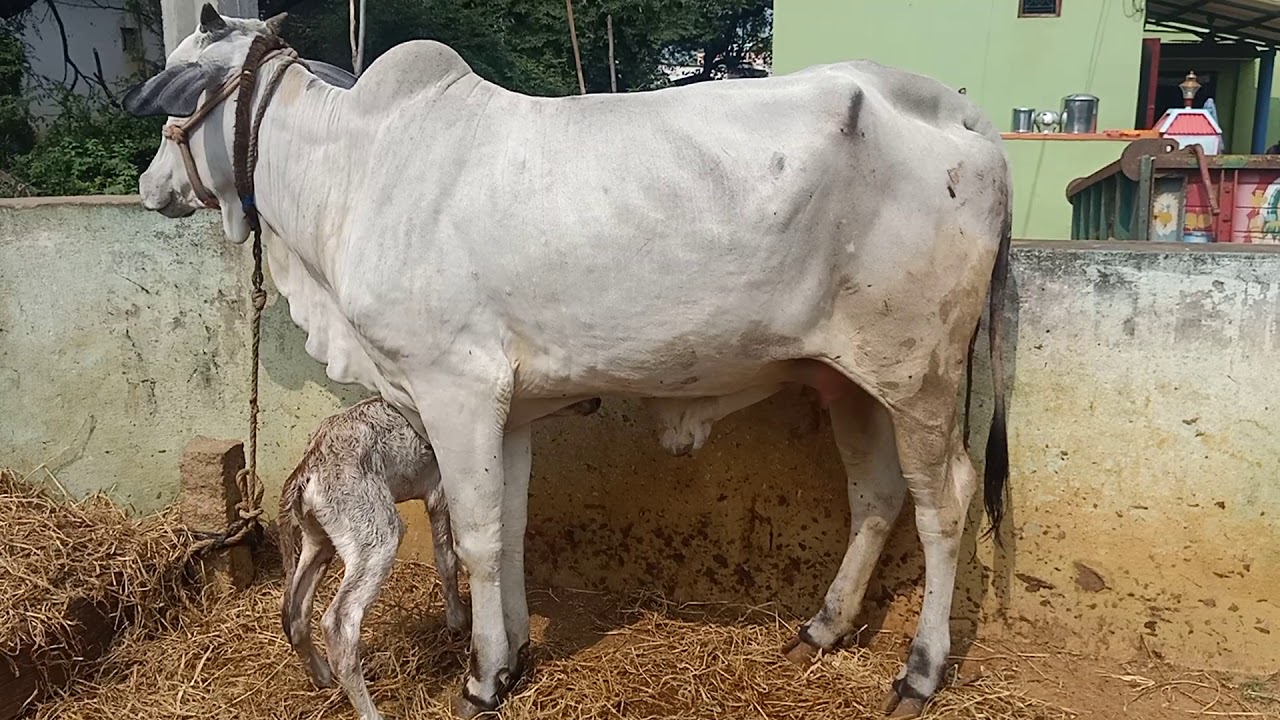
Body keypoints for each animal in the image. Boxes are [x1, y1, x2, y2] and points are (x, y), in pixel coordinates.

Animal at [122, 6, 1010, 718]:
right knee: (877, 495)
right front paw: (514, 654)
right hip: (850, 378)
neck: (355, 173)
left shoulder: (457, 389)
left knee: (944, 502)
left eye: (178, 95)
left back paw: (919, 672)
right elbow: (512, 529)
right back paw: (821, 628)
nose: (149, 184)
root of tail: (965, 116)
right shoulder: (510, 409)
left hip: (921, 373)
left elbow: (478, 538)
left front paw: (482, 678)